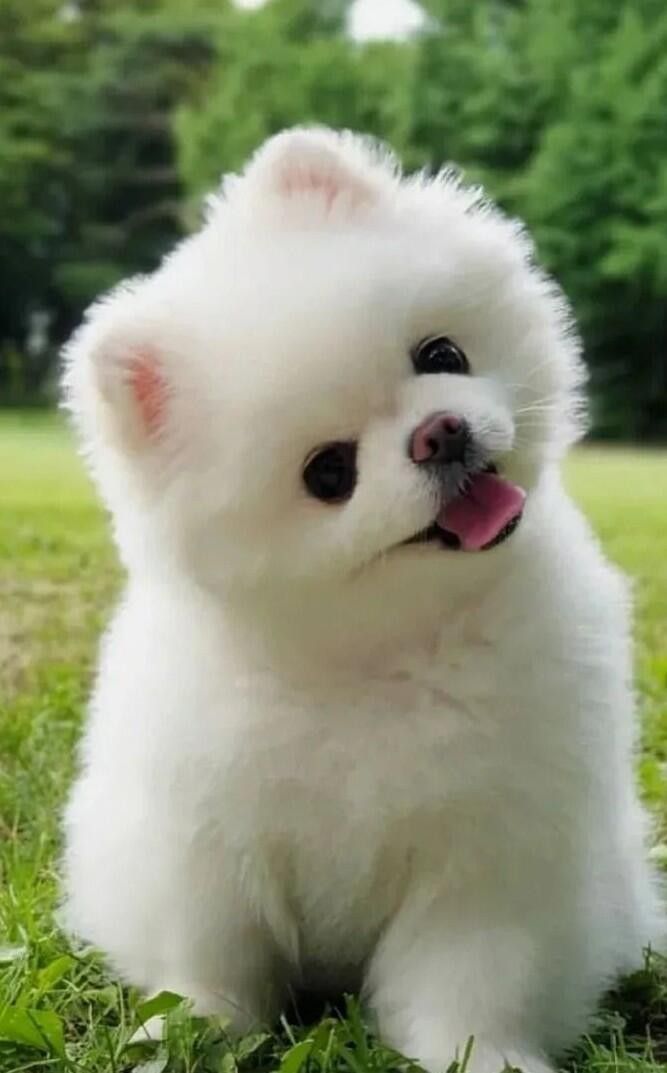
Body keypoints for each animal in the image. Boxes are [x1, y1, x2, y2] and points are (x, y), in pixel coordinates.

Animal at [62, 127, 664, 1073]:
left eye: (441, 355)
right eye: (328, 472)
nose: (439, 432)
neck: (381, 655)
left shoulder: (486, 854)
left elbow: (470, 978)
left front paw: (481, 1054)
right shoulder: (204, 847)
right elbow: (212, 960)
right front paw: (189, 1029)